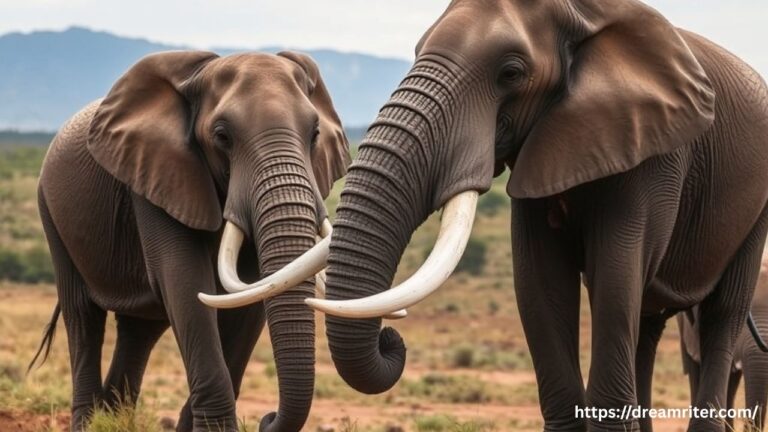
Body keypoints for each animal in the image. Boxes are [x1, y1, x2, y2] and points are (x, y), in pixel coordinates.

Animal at [30, 50, 350, 432]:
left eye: (314, 133)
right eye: (222, 136)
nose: (267, 418)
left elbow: (256, 289)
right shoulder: (156, 177)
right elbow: (185, 282)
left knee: (139, 330)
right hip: (51, 210)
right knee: (83, 317)